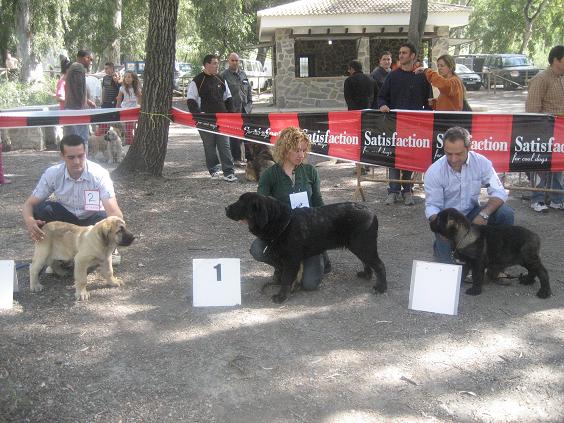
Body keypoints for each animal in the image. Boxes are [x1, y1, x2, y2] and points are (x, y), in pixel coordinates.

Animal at [225, 192, 388, 304]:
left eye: (242, 203)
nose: (226, 207)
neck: (283, 223)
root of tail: (372, 213)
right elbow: (286, 276)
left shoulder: (291, 260)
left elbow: (286, 279)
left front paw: (281, 296)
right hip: (359, 246)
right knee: (367, 262)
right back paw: (366, 275)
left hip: (363, 245)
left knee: (379, 265)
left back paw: (381, 288)